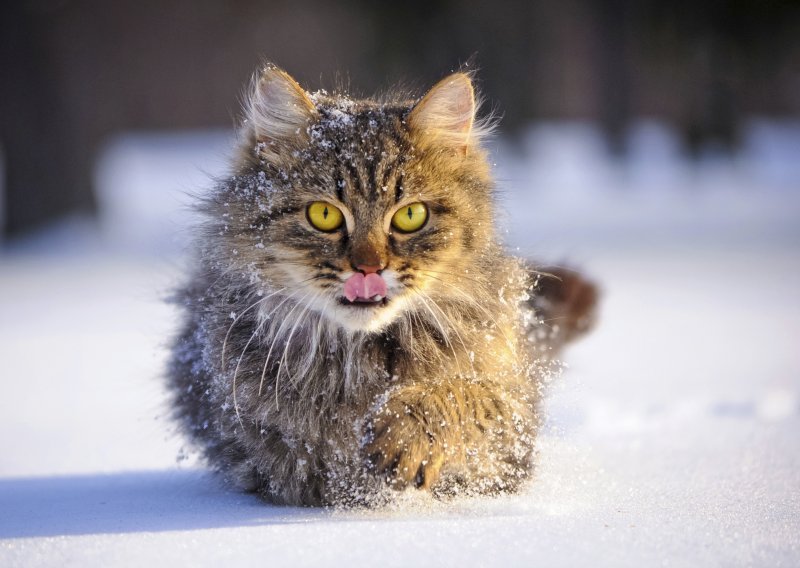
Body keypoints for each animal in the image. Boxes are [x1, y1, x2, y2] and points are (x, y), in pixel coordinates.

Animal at [167, 63, 592, 506]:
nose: (368, 268)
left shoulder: (510, 425)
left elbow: (460, 395)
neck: (364, 356)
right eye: (323, 215)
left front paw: (405, 434)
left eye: (410, 216)